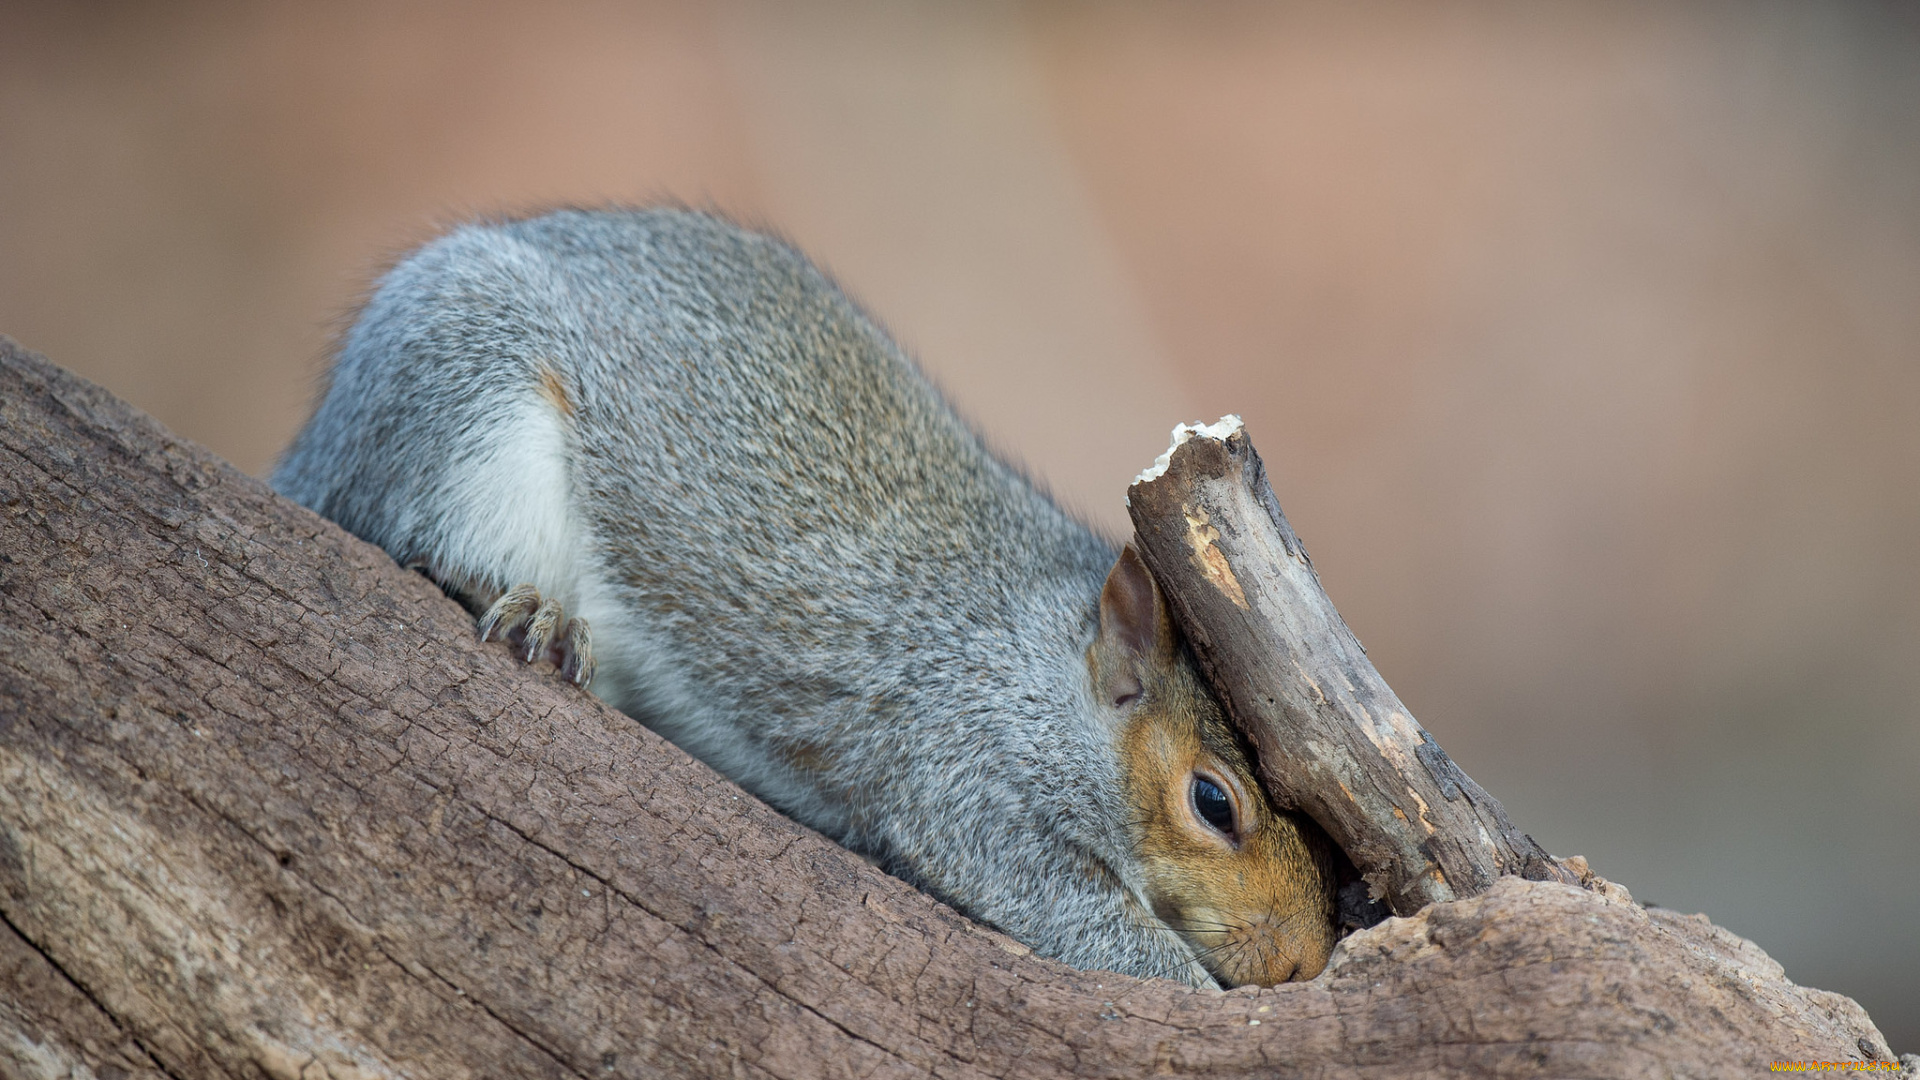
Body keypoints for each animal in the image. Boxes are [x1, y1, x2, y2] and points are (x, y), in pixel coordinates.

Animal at [274, 205, 1336, 991]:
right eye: (1213, 803)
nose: (1301, 962)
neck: (1044, 659)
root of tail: (314, 446)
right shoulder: (963, 761)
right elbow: (1059, 904)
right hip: (469, 396)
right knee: (407, 527)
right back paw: (530, 609)